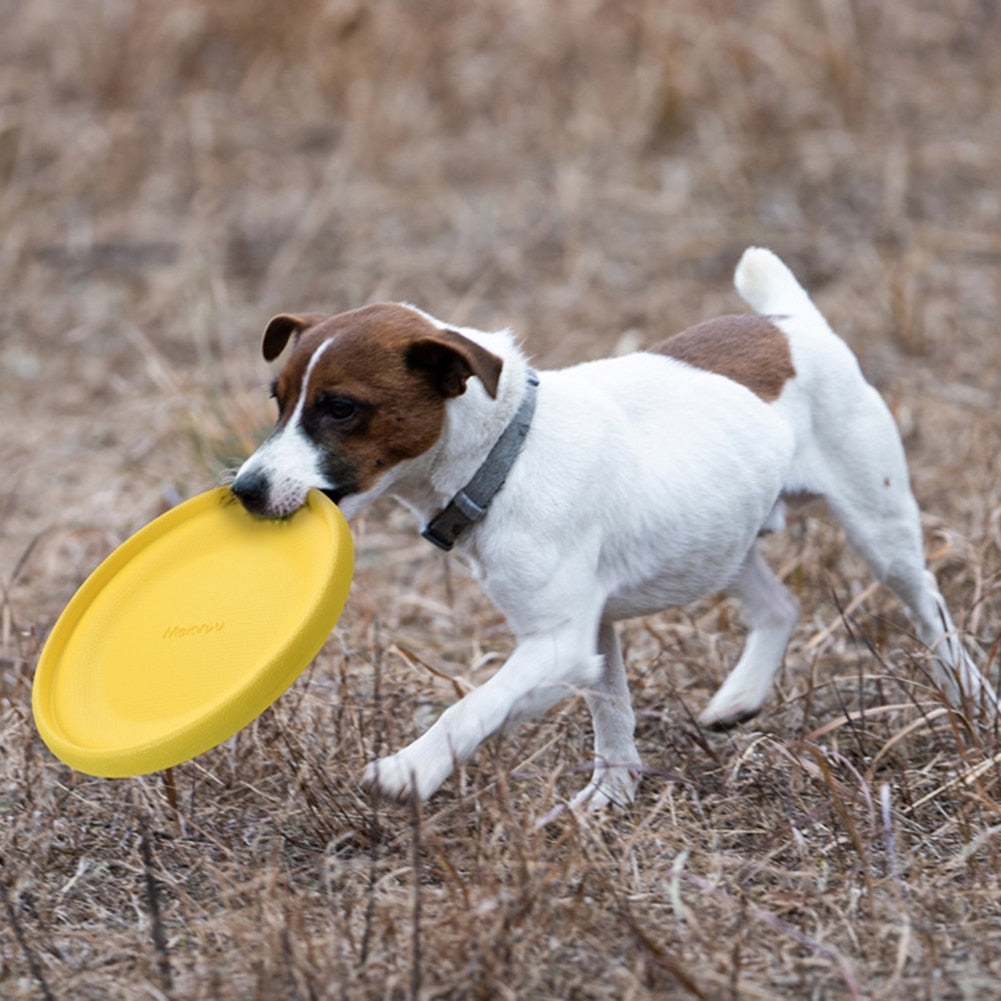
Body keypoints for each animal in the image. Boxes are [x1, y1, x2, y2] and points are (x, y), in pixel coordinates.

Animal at [232, 246, 992, 808]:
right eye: (278, 401)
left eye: (340, 408)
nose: (244, 490)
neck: (506, 450)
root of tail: (791, 321)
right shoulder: (592, 633)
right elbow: (612, 713)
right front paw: (609, 797)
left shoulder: (559, 642)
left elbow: (475, 706)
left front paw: (411, 768)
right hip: (719, 537)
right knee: (780, 605)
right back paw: (740, 696)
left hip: (878, 528)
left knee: (928, 608)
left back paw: (969, 699)